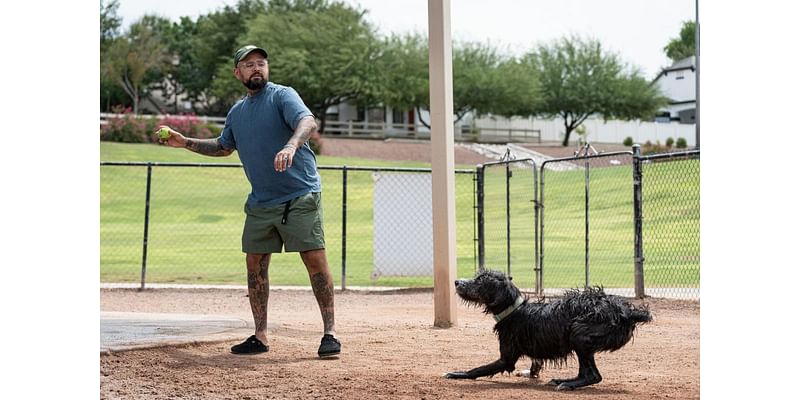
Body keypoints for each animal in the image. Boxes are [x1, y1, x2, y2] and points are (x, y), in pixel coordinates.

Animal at [446, 268, 652, 390]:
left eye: (480, 281)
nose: (456, 282)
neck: (514, 309)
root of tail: (627, 311)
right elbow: (534, 364)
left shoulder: (506, 360)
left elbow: (478, 369)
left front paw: (458, 374)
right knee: (585, 372)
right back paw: (563, 381)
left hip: (579, 334)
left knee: (594, 376)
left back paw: (568, 385)